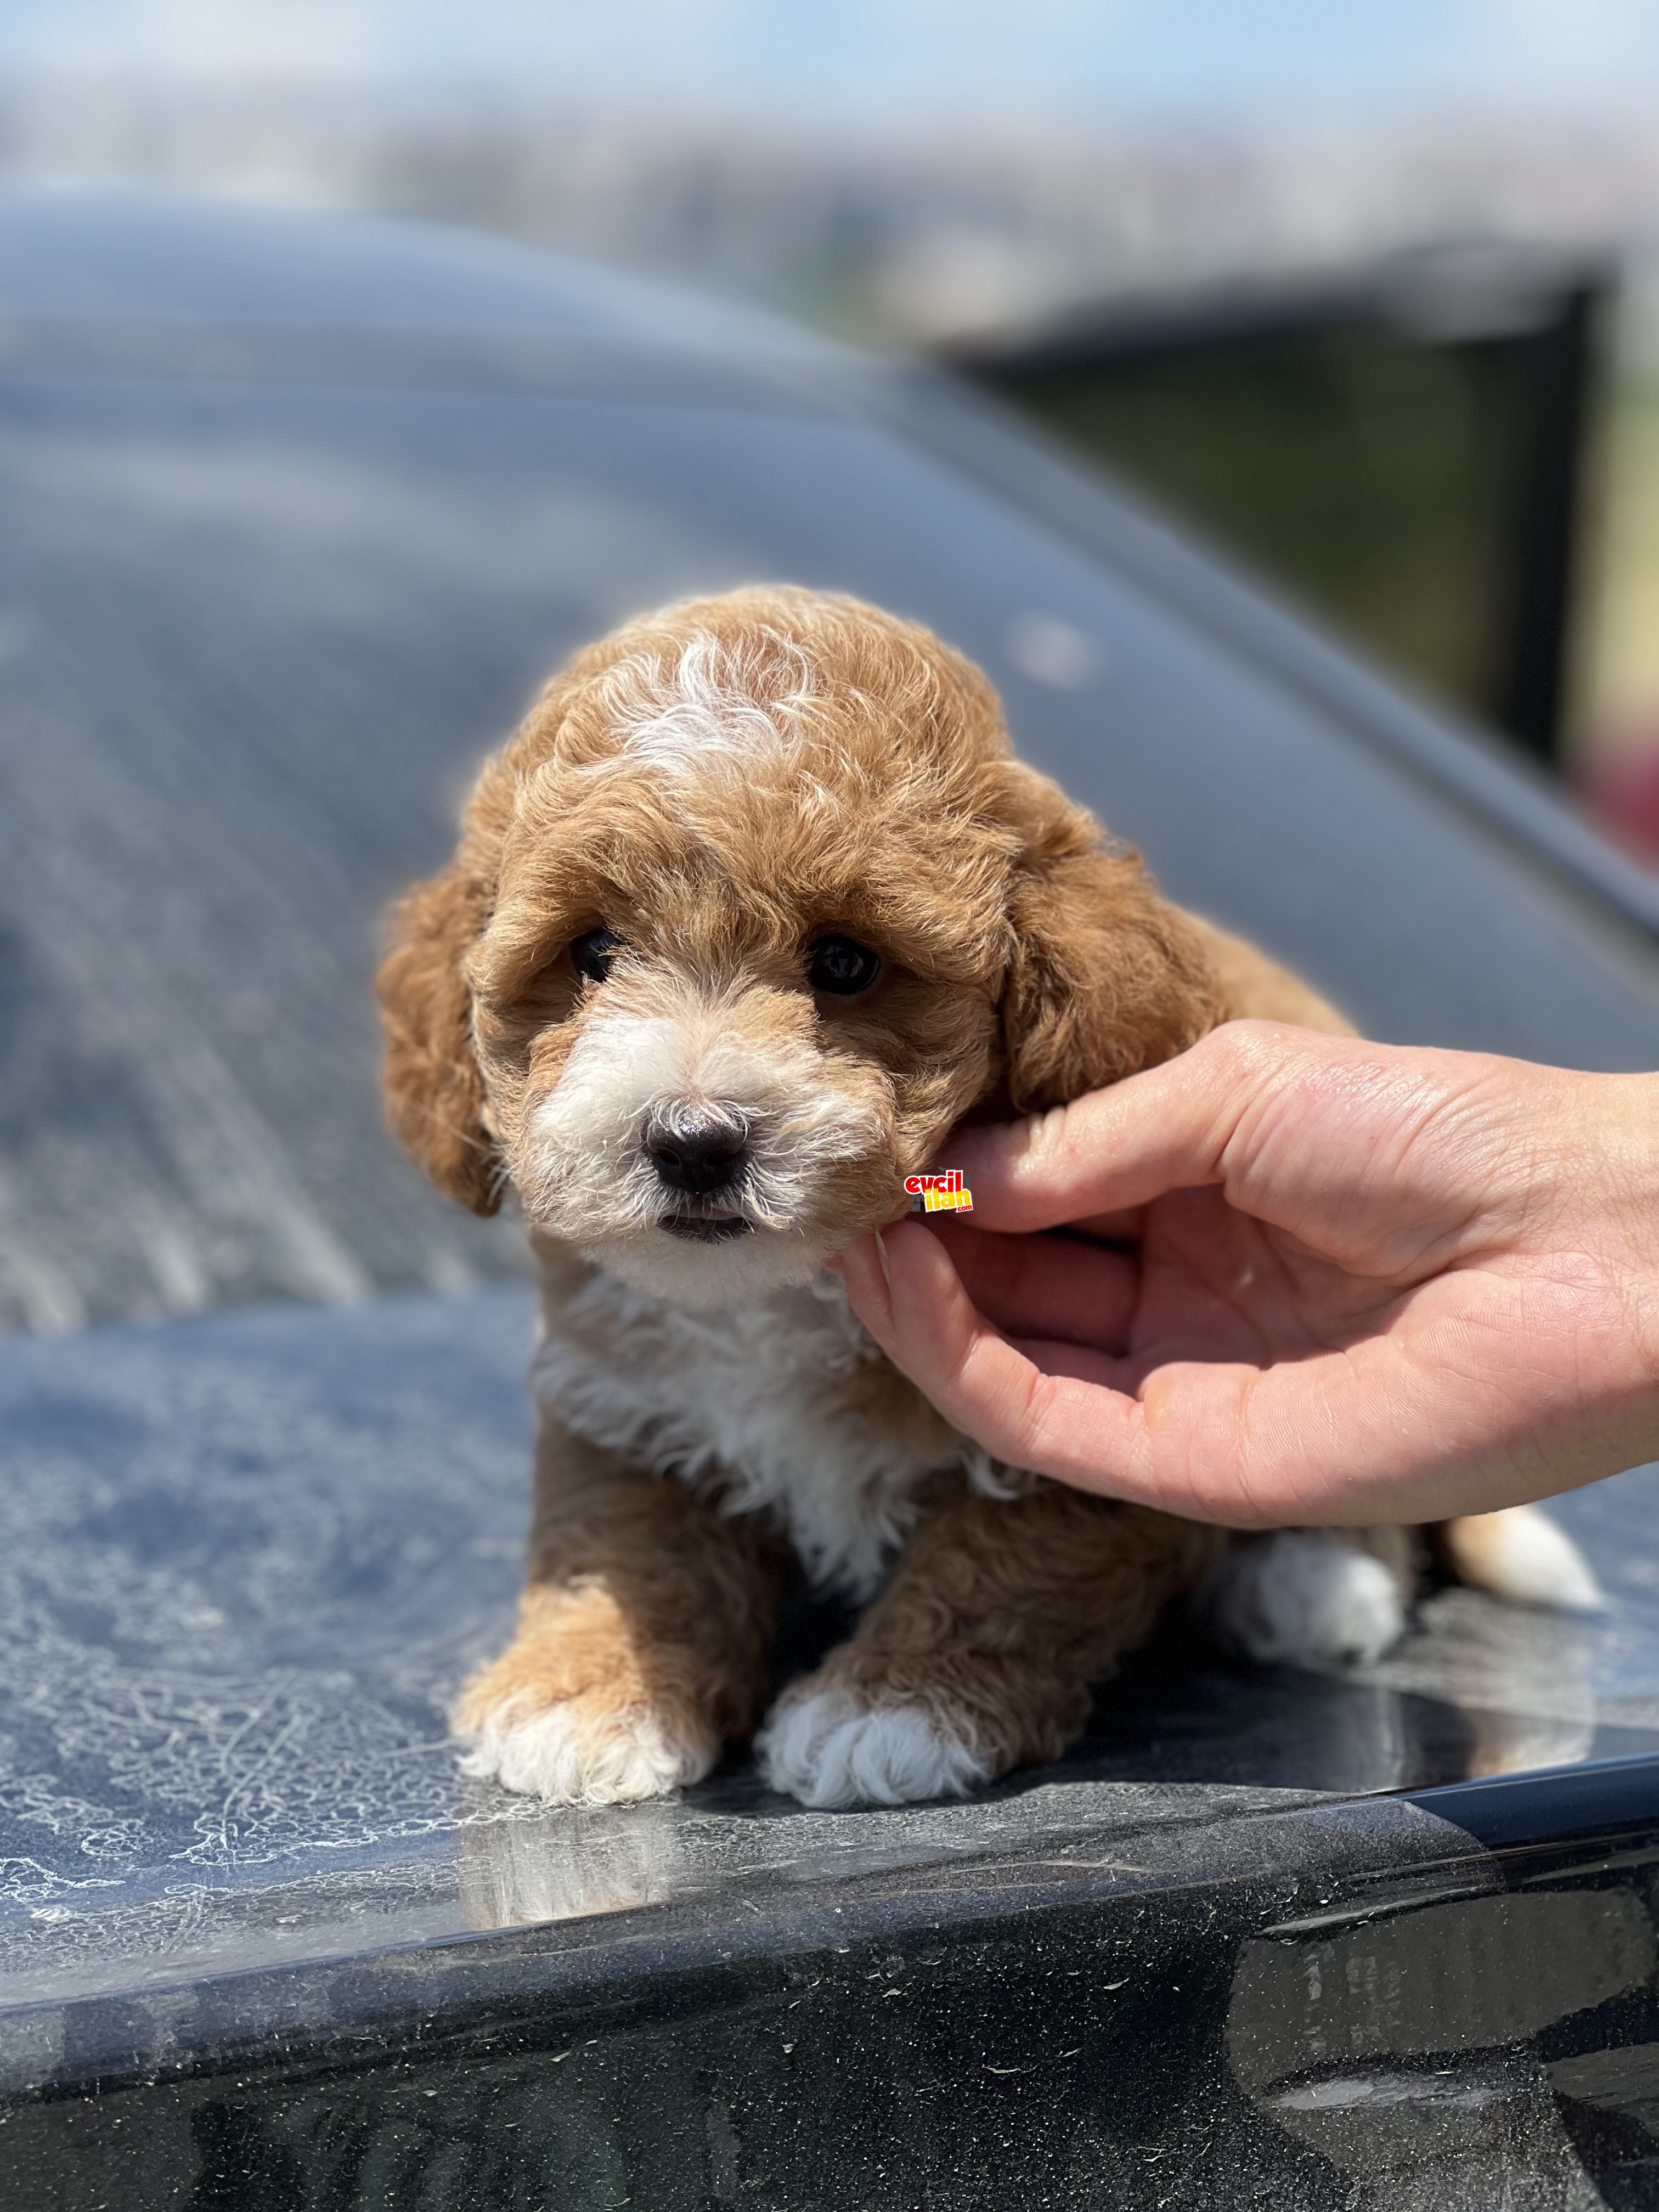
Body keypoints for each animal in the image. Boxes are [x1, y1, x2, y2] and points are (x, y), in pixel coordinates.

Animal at [380, 592, 1610, 1814]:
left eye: (844, 963)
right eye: (591, 952)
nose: (692, 1144)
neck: (779, 1295)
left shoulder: (1080, 1427)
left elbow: (1013, 1566)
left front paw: (895, 1709)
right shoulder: (619, 1398)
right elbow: (624, 1542)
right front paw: (589, 1694)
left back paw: (1316, 1578)